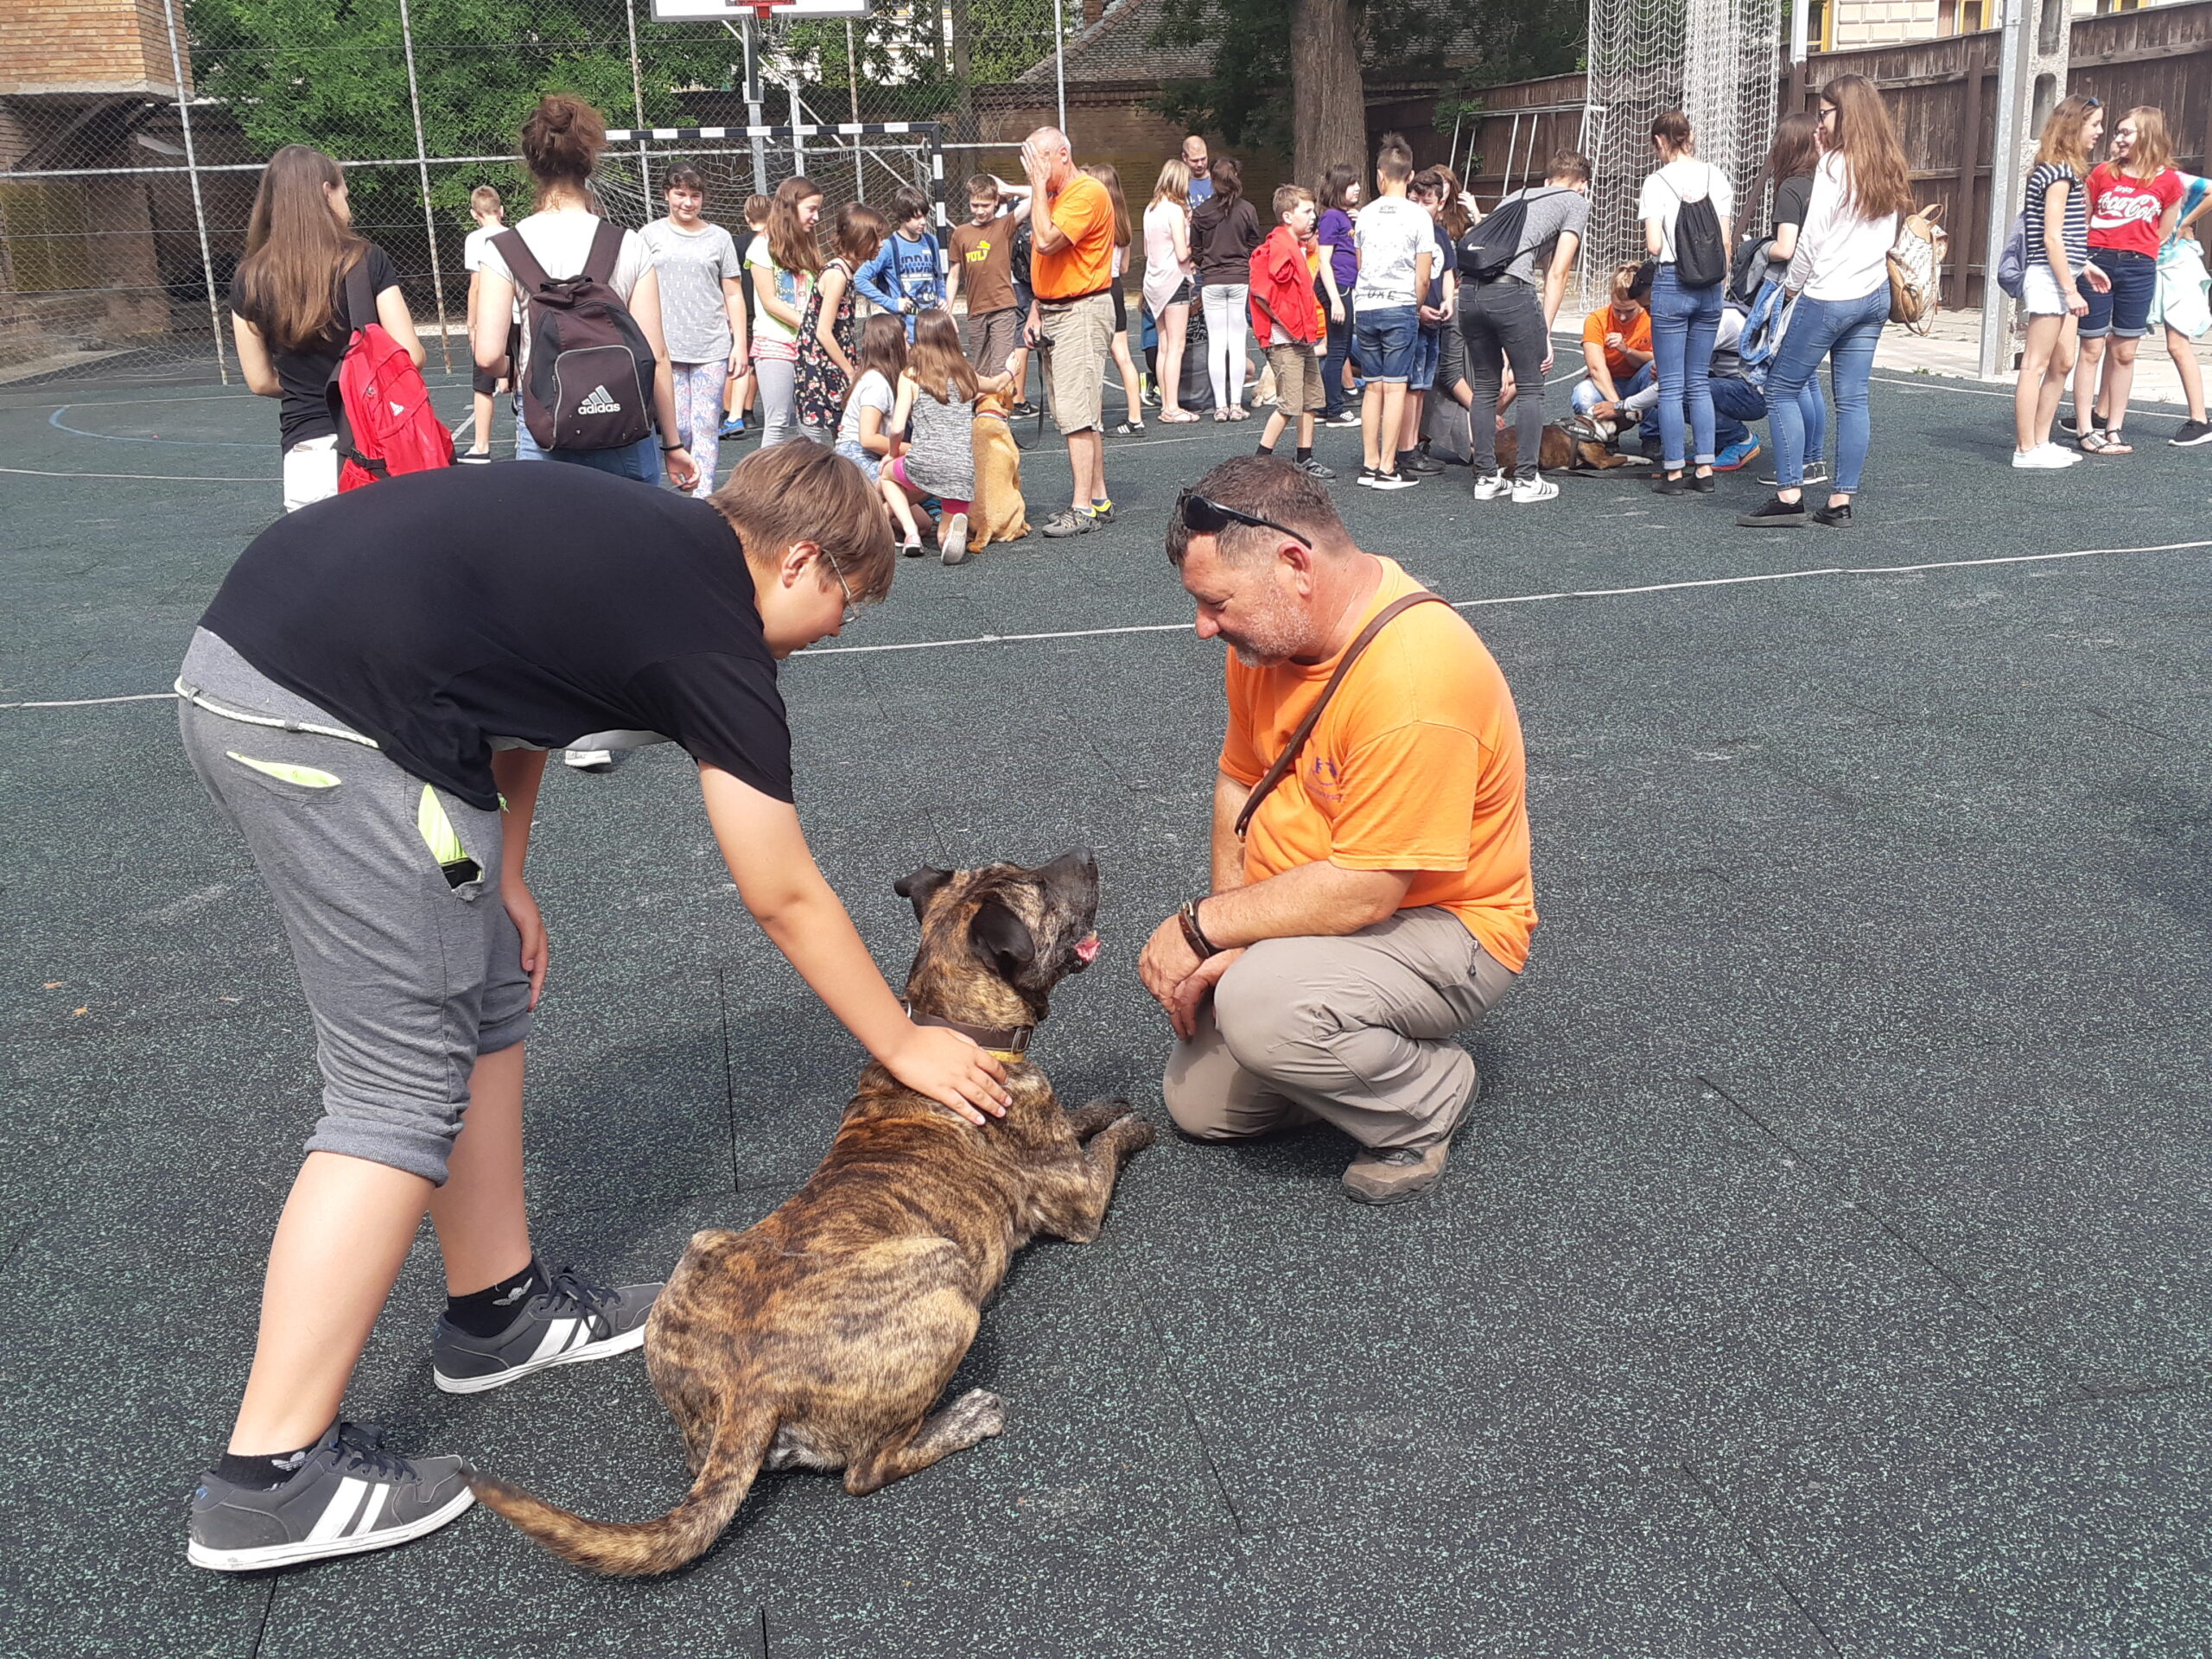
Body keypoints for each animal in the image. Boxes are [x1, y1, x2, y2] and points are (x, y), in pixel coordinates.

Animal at [471, 849, 1159, 1574]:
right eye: (1040, 889)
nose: (1086, 856)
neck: (954, 1028)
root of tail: (751, 1386)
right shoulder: (1079, 1196)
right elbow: (1107, 1146)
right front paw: (1135, 1123)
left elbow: (1080, 1120)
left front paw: (1103, 1106)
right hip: (949, 1284)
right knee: (869, 1468)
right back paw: (966, 1419)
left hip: (703, 1247)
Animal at [973, 391, 1030, 548]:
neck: (988, 414)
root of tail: (985, 525)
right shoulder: (1016, 476)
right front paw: (1027, 525)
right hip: (1019, 499)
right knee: (1010, 536)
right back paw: (1022, 532)